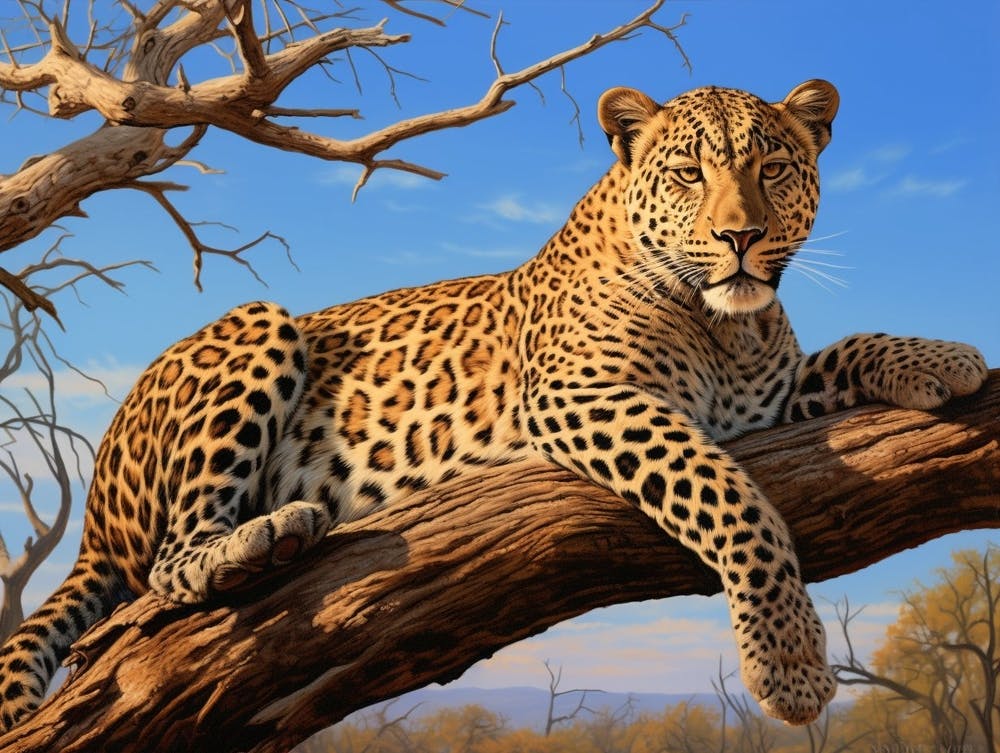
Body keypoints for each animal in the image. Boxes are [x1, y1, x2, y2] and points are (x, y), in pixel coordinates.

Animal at [0, 79, 987, 732]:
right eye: (686, 175)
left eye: (774, 167)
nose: (740, 235)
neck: (724, 324)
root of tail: (93, 509)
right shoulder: (584, 396)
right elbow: (730, 497)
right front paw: (787, 663)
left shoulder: (768, 397)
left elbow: (845, 350)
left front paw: (943, 356)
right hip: (256, 325)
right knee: (170, 562)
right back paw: (264, 536)